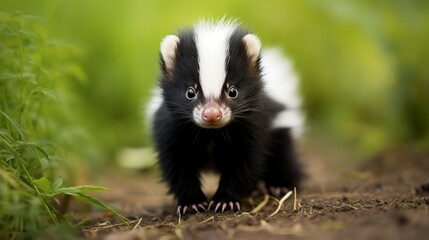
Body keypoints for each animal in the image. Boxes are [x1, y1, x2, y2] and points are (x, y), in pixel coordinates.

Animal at [147, 20, 304, 216]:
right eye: (190, 92)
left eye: (233, 91)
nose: (212, 114)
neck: (212, 134)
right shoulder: (171, 129)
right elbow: (177, 166)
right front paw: (192, 203)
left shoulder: (253, 126)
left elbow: (244, 164)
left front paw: (225, 201)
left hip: (279, 129)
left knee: (285, 158)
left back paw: (277, 186)